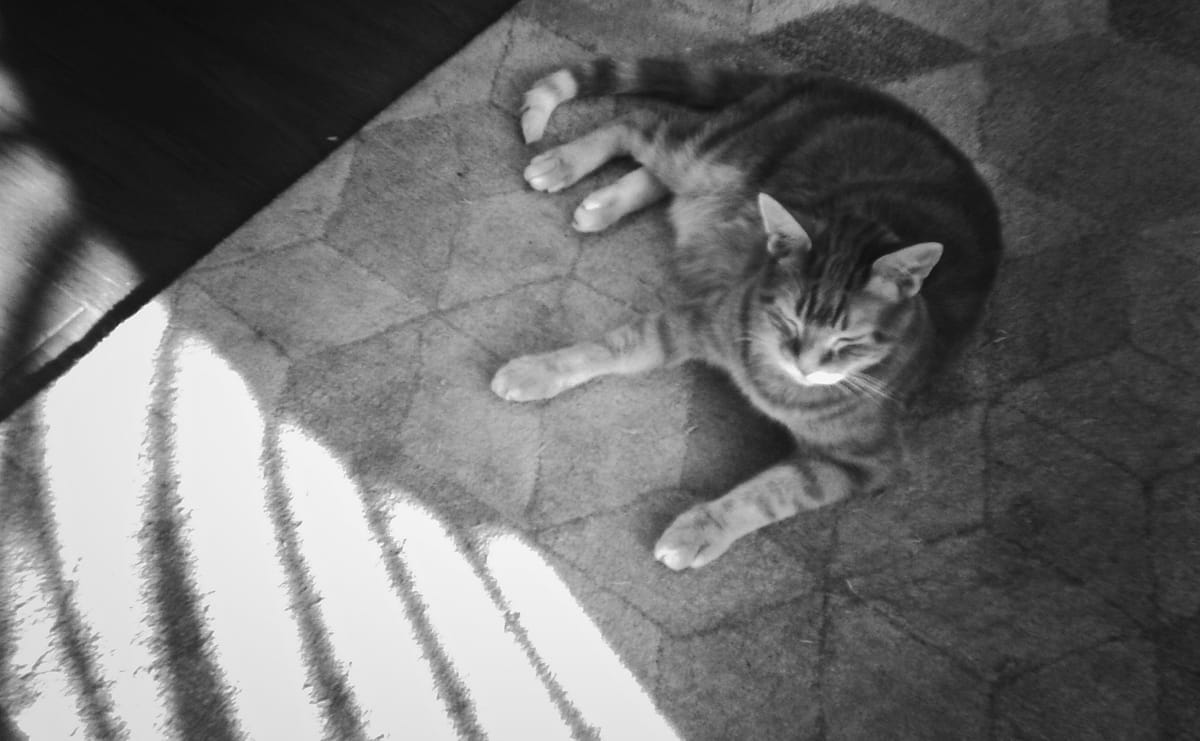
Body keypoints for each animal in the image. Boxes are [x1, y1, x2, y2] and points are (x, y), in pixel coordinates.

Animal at [487, 57, 1003, 568]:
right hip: (715, 157)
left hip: (712, 174)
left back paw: (602, 202)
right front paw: (537, 371)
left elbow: (769, 493)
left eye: (848, 341)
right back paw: (565, 163)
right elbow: (611, 347)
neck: (779, 384)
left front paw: (699, 530)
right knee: (640, 124)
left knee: (658, 166)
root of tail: (830, 82)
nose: (805, 365)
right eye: (789, 319)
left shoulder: (859, 463)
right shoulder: (694, 321)